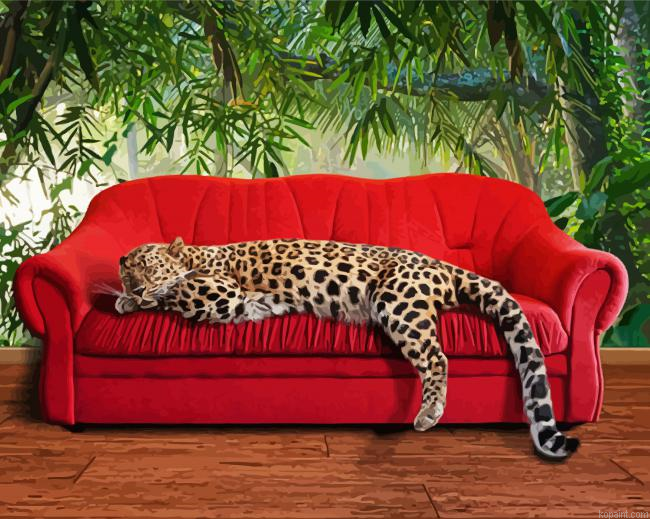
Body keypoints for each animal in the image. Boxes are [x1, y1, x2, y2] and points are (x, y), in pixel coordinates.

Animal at [115, 236, 580, 460]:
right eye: (127, 270)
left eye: (147, 264)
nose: (129, 281)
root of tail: (441, 264)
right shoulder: (247, 306)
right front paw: (125, 301)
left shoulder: (221, 292)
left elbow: (179, 287)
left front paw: (144, 296)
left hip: (398, 302)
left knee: (436, 355)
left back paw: (429, 412)